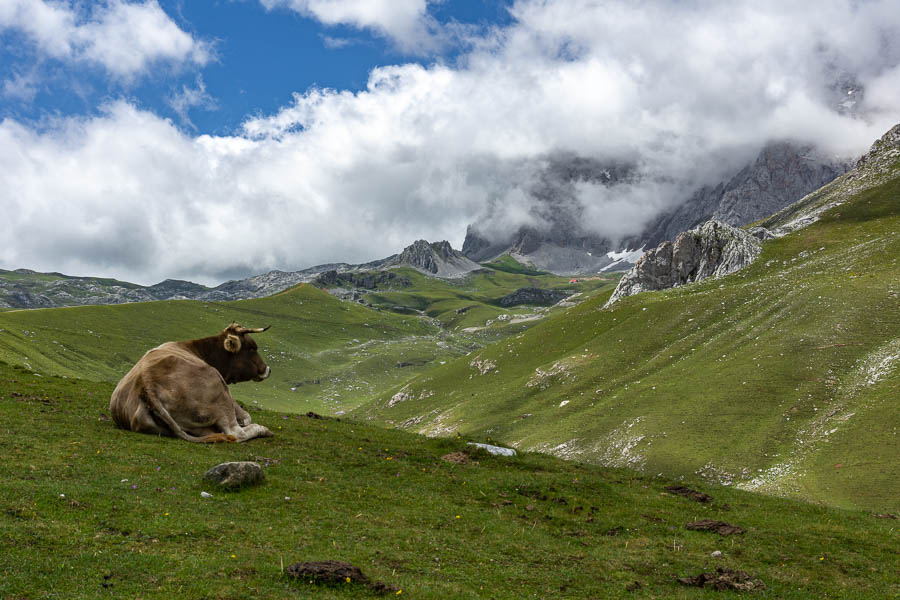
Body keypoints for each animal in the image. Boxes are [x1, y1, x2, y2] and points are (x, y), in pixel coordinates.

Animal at [108, 322, 272, 442]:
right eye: (252, 348)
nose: (268, 369)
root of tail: (146, 384)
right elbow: (246, 417)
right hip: (220, 394)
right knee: (236, 433)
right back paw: (262, 429)